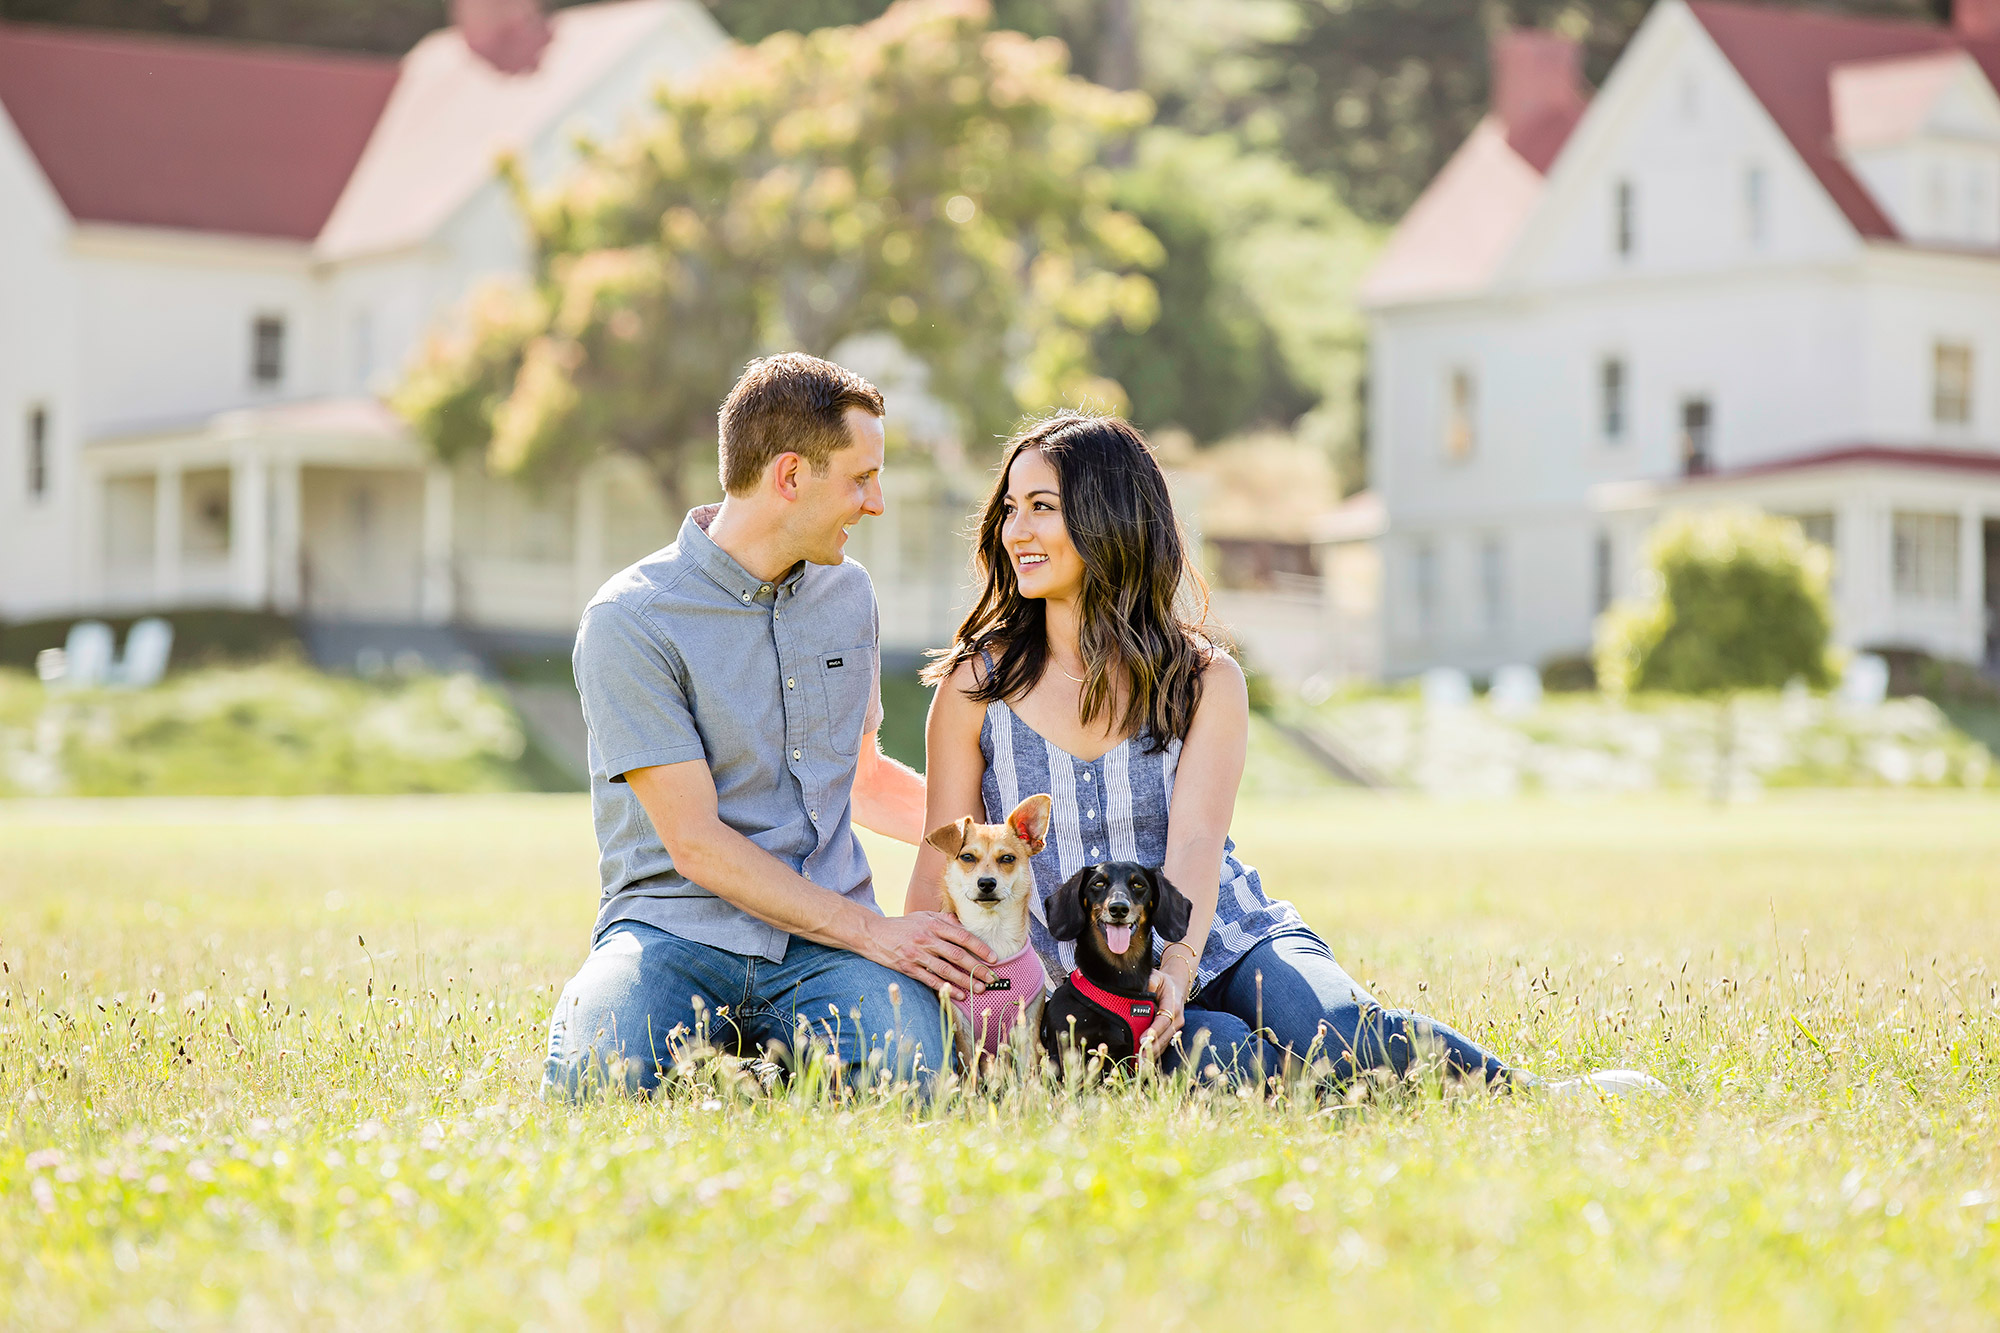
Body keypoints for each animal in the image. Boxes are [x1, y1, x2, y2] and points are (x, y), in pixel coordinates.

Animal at [924, 788, 1056, 1072]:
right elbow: (970, 1071)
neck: (992, 932)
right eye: (967, 857)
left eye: (1007, 858)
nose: (986, 883)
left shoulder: (1027, 1026)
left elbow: (1027, 1073)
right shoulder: (963, 1032)